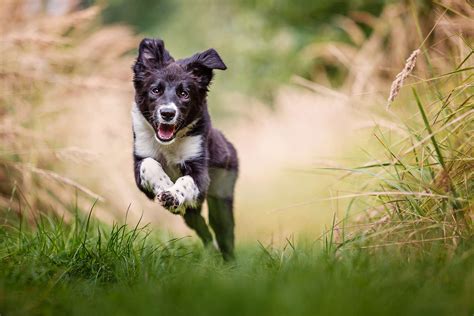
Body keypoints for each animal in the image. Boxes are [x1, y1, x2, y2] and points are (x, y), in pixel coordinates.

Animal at [131, 39, 239, 260]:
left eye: (184, 93)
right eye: (155, 90)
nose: (167, 113)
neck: (169, 143)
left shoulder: (199, 170)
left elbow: (186, 180)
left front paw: (172, 194)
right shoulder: (139, 160)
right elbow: (149, 164)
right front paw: (164, 185)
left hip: (222, 196)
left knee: (223, 232)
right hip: (191, 214)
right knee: (202, 228)